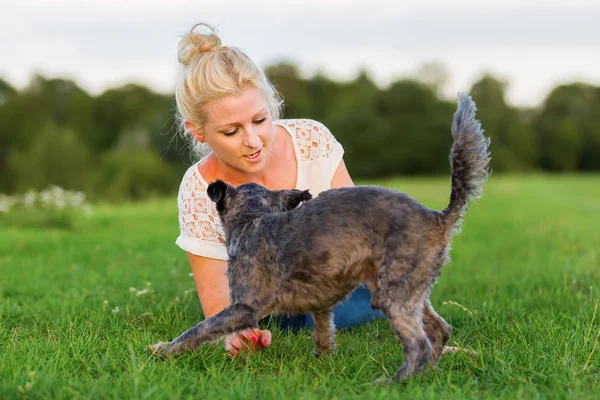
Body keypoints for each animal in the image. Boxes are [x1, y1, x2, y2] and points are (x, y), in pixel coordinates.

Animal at [149, 93, 488, 382]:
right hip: (408, 287)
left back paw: (393, 383)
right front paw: (323, 358)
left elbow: (198, 330)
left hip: (394, 292)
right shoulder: (321, 301)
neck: (254, 217)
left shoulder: (243, 307)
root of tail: (437, 217)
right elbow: (323, 329)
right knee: (439, 331)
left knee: (418, 344)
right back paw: (429, 374)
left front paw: (165, 350)